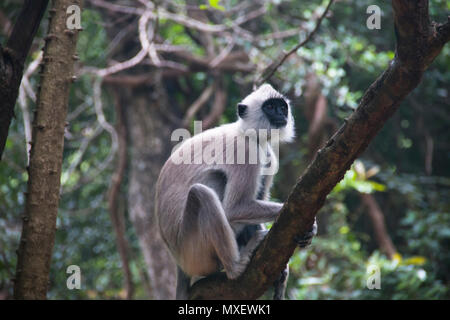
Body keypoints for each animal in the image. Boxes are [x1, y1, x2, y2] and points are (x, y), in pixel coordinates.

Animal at [155, 84, 316, 298]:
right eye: (270, 107)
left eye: (282, 107)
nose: (281, 114)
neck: (248, 133)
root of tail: (179, 263)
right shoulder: (246, 151)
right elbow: (235, 208)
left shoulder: (268, 155)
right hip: (192, 251)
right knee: (201, 193)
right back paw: (235, 267)